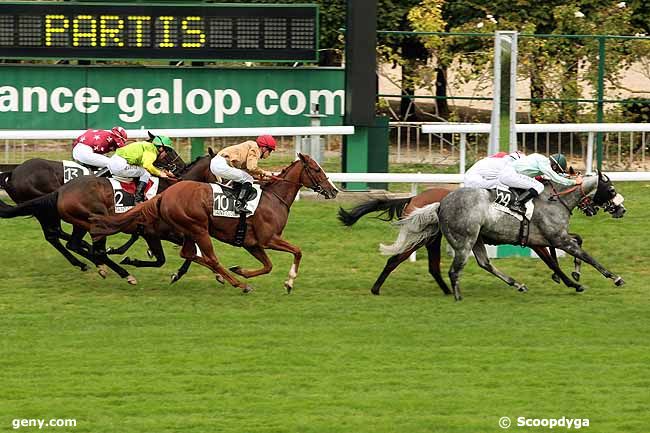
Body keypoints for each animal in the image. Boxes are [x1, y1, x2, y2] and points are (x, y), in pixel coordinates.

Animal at [0, 153, 215, 284]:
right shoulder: (155, 231)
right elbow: (168, 255)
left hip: (68, 219)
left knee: (66, 240)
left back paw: (90, 262)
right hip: (79, 218)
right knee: (67, 240)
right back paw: (118, 271)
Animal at [90, 154, 340, 292]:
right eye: (316, 169)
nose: (334, 190)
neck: (274, 198)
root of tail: (165, 194)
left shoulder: (252, 243)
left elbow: (268, 266)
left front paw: (241, 270)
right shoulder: (269, 239)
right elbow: (297, 251)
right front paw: (289, 282)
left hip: (189, 230)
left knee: (189, 254)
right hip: (198, 228)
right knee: (209, 257)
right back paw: (239, 284)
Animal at [380, 170, 624, 298]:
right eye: (611, 189)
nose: (622, 209)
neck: (554, 199)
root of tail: (440, 205)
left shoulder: (550, 238)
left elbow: (570, 250)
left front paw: (573, 277)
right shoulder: (557, 238)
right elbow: (587, 256)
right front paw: (615, 277)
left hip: (475, 240)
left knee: (484, 263)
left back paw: (517, 284)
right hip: (464, 241)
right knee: (454, 270)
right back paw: (457, 295)